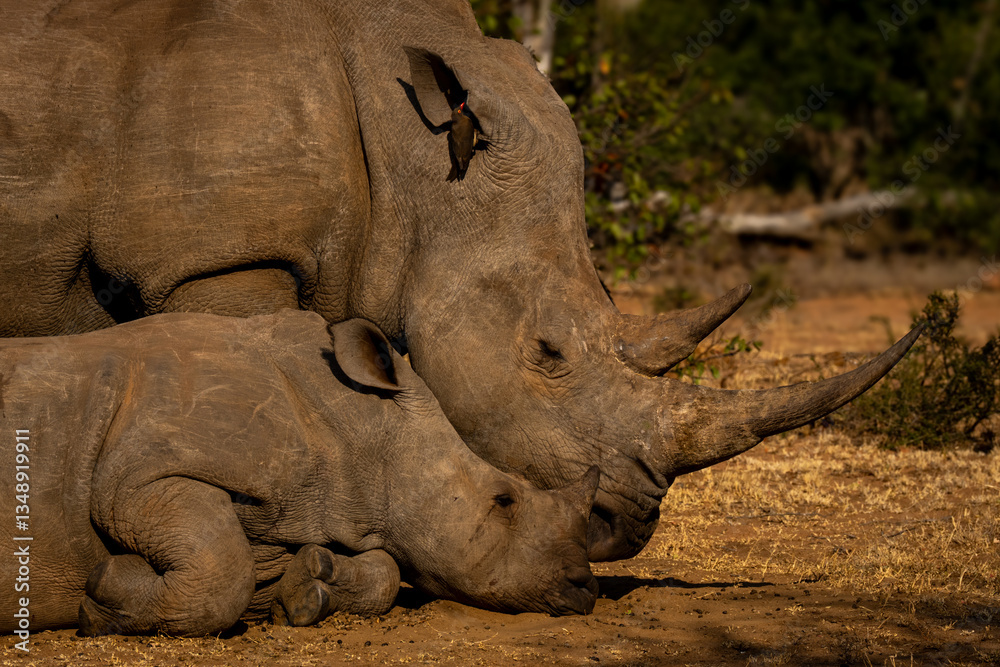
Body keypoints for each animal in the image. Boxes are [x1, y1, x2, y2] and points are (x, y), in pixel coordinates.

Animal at [0, 311, 599, 637]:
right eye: (504, 500)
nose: (585, 587)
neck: (361, 427)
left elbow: (383, 570)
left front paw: (310, 590)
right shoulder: (135, 476)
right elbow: (222, 573)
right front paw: (104, 596)